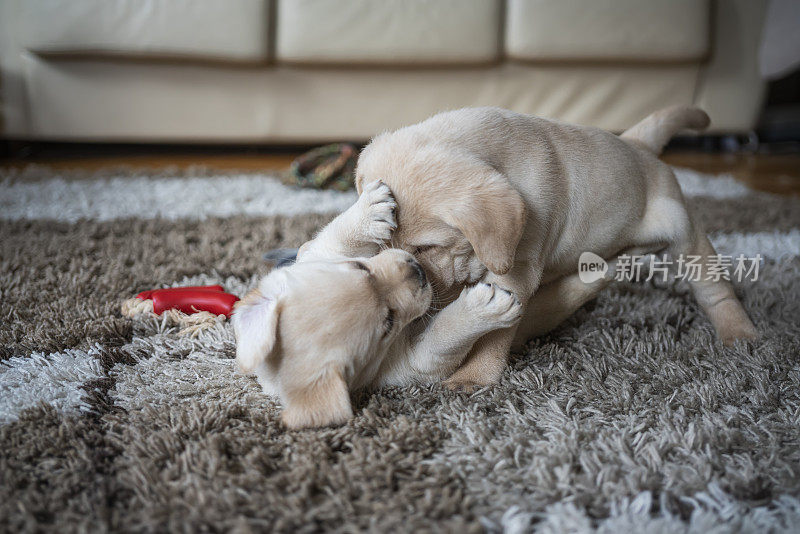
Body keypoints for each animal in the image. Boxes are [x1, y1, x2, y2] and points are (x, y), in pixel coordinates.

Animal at [233, 184, 520, 432]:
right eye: (388, 322)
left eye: (360, 267)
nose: (418, 271)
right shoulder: (411, 364)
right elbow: (443, 339)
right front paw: (487, 308)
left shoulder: (319, 254)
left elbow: (334, 238)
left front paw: (369, 208)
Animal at [354, 105, 756, 390]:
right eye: (378, 245)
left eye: (426, 249)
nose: (411, 278)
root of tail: (638, 145)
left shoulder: (515, 272)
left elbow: (494, 336)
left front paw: (474, 376)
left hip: (681, 227)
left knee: (713, 288)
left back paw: (738, 332)